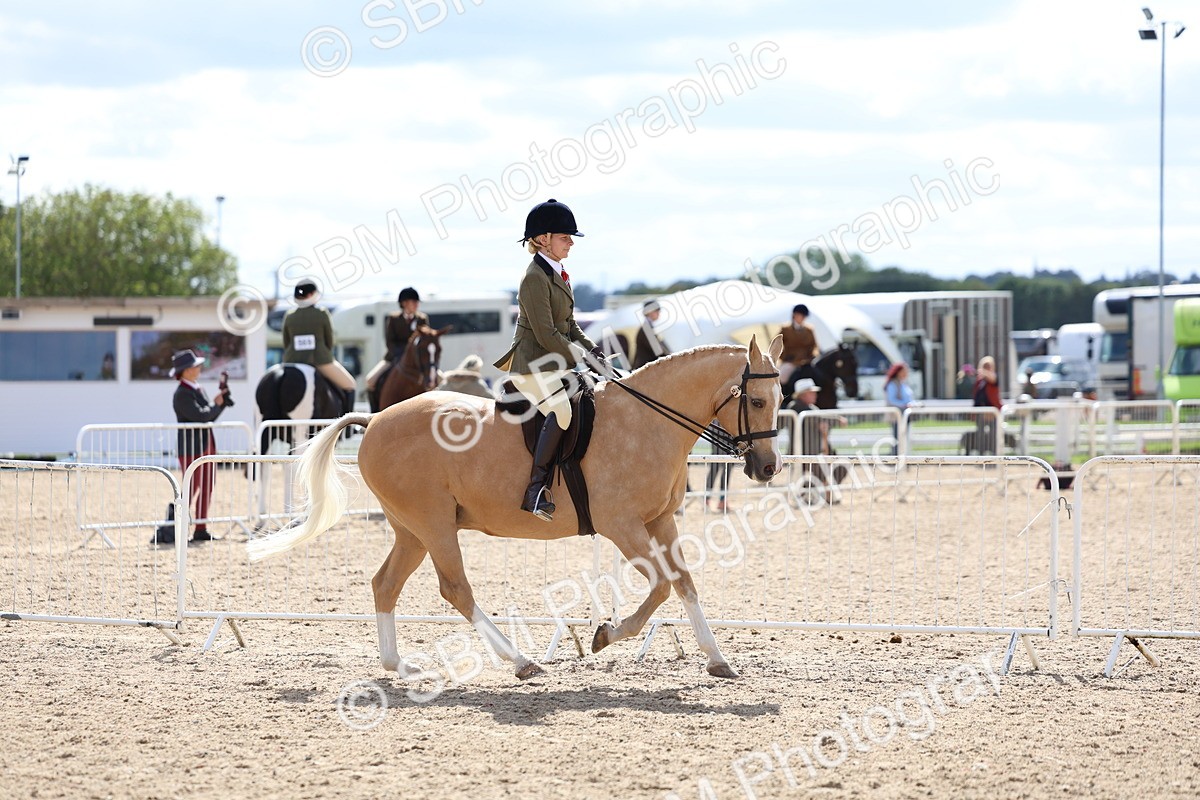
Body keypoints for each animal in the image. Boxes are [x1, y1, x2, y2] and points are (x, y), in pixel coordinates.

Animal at [248, 335, 785, 680]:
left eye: (779, 398)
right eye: (757, 401)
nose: (767, 467)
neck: (646, 419)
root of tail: (375, 418)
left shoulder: (660, 521)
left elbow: (684, 583)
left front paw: (717, 660)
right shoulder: (623, 525)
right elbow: (660, 586)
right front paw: (605, 635)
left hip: (413, 531)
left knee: (385, 584)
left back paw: (399, 665)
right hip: (433, 526)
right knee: (455, 589)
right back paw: (522, 662)